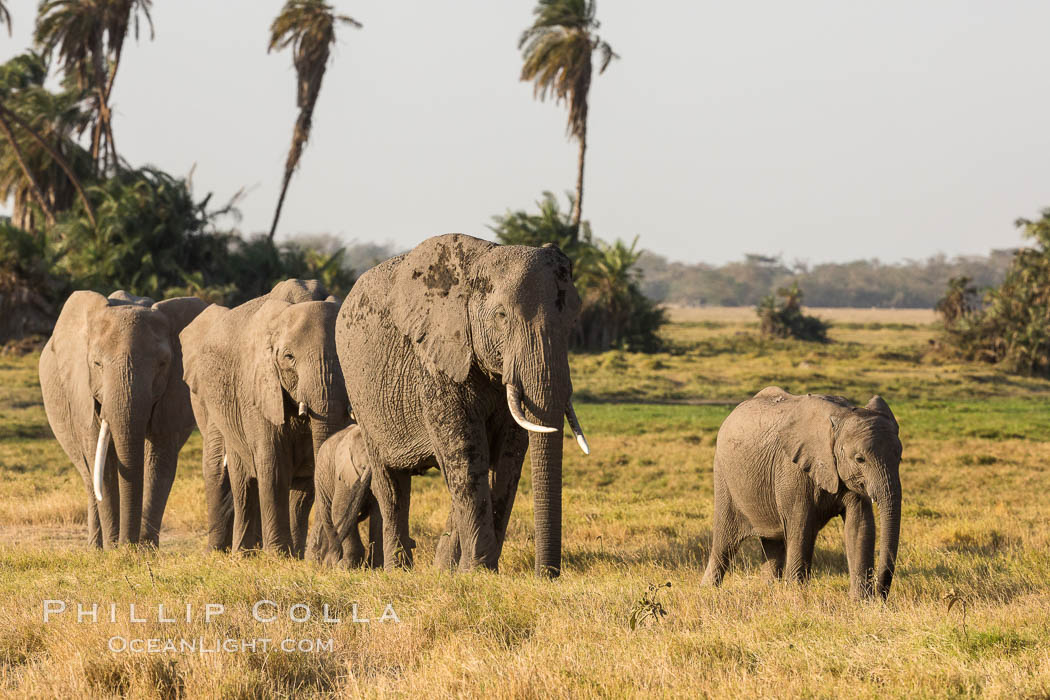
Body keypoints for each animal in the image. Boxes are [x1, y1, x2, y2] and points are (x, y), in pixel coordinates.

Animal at [39, 289, 206, 545]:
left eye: (162, 364)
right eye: (97, 364)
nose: (127, 544)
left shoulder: (173, 395)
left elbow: (158, 462)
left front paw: (142, 550)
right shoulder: (84, 393)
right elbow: (104, 464)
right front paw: (114, 549)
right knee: (90, 477)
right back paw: (96, 549)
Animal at [178, 279, 346, 558]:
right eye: (289, 357)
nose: (324, 555)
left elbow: (307, 480)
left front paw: (295, 558)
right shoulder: (256, 389)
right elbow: (273, 466)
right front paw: (278, 555)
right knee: (242, 481)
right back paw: (243, 554)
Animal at [336, 232, 592, 579]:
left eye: (573, 319)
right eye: (501, 317)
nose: (547, 575)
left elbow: (507, 458)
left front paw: (474, 571)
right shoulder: (436, 360)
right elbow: (466, 455)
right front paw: (480, 572)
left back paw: (443, 569)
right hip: (362, 398)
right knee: (391, 485)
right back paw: (398, 571)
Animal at [697, 386, 902, 600]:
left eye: (899, 458)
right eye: (860, 459)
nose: (881, 594)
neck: (839, 418)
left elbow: (860, 525)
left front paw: (861, 602)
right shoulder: (792, 470)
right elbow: (802, 527)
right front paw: (798, 598)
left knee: (772, 543)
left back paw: (771, 591)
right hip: (724, 477)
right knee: (724, 543)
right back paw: (708, 591)